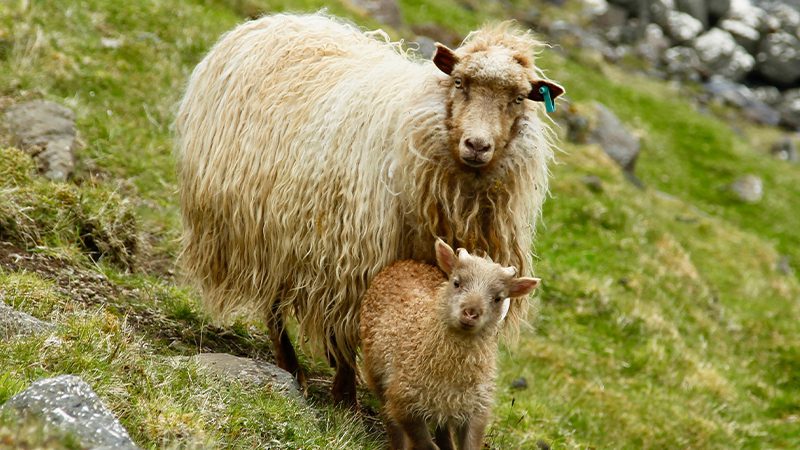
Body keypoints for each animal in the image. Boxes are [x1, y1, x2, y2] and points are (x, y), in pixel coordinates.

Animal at [175, 12, 563, 404]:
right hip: (256, 227)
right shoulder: (353, 261)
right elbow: (349, 327)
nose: (477, 145)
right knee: (273, 306)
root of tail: (273, 21)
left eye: (518, 98)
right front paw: (345, 398)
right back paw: (291, 367)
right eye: (459, 82)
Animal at [359, 239, 540, 450]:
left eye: (498, 298)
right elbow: (424, 443)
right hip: (376, 375)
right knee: (392, 424)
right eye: (456, 282)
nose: (471, 312)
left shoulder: (476, 408)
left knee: (442, 429)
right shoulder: (403, 402)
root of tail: (407, 262)